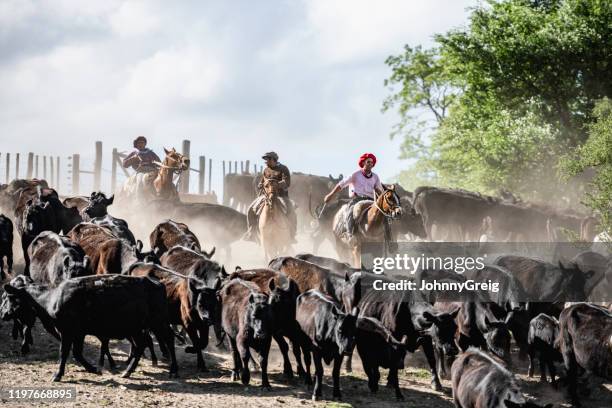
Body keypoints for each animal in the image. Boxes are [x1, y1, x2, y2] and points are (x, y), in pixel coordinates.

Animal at [2, 274, 179, 382]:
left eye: (10, 297)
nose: (3, 314)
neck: (51, 298)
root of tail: (156, 282)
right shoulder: (78, 333)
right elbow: (77, 353)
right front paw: (94, 369)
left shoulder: (67, 331)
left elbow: (64, 352)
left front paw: (58, 375)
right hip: (136, 327)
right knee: (140, 345)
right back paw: (128, 371)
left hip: (158, 322)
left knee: (168, 339)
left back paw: (173, 370)